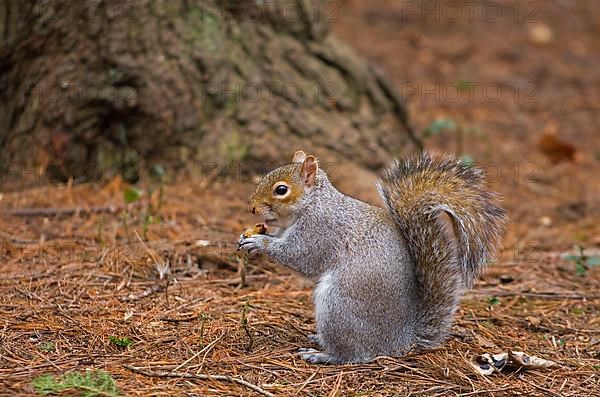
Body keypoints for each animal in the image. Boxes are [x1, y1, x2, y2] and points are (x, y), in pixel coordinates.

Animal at [238, 150, 506, 364]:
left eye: (281, 190)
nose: (251, 207)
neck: (313, 203)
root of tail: (401, 340)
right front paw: (250, 236)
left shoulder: (319, 229)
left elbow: (299, 257)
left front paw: (260, 242)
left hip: (338, 305)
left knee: (354, 354)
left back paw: (323, 355)